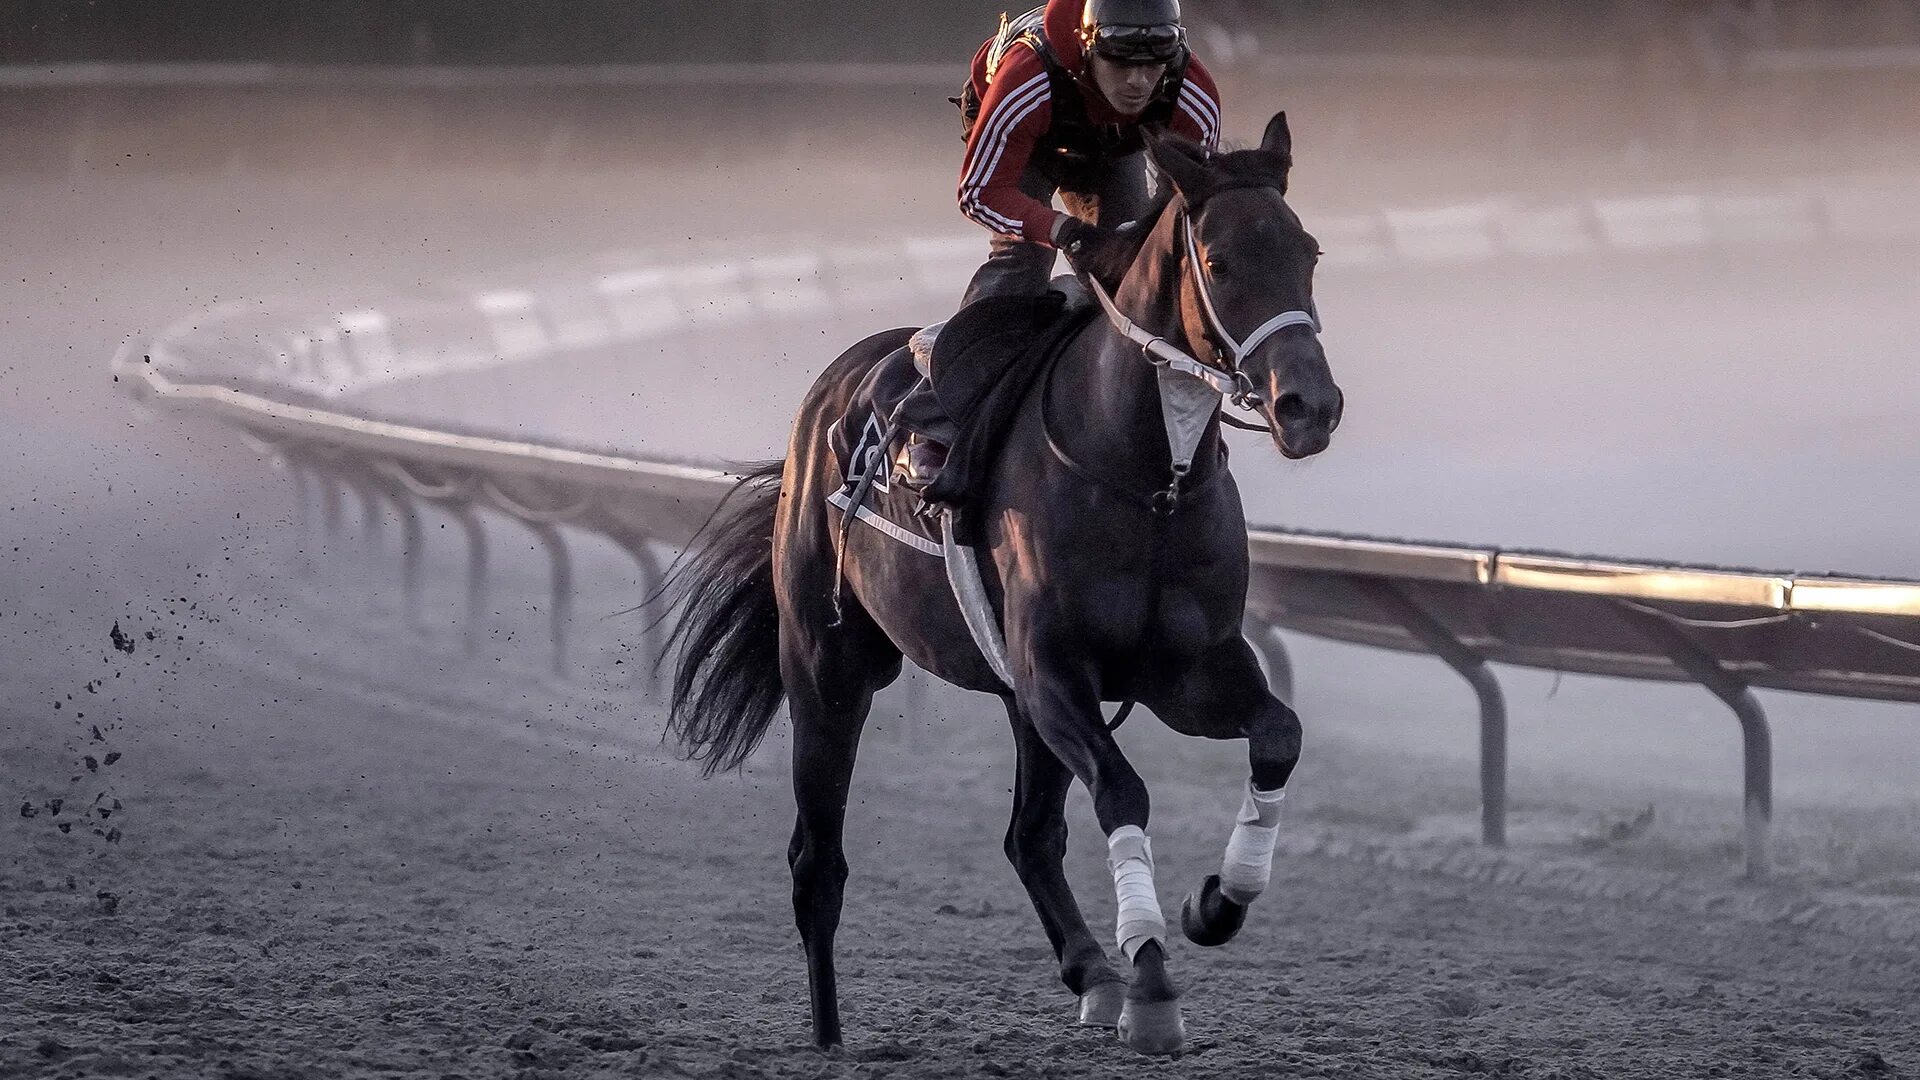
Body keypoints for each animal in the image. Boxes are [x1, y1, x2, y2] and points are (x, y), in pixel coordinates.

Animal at [656, 111, 1336, 1053]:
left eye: (1307, 251)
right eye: (1222, 260)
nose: (1311, 406)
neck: (1148, 478)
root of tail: (825, 399)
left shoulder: (1187, 670)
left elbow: (1279, 734)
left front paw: (1213, 905)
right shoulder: (1054, 672)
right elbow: (1123, 789)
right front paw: (1153, 984)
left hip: (1009, 701)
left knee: (1029, 837)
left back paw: (1092, 970)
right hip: (829, 669)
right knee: (817, 859)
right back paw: (829, 1033)